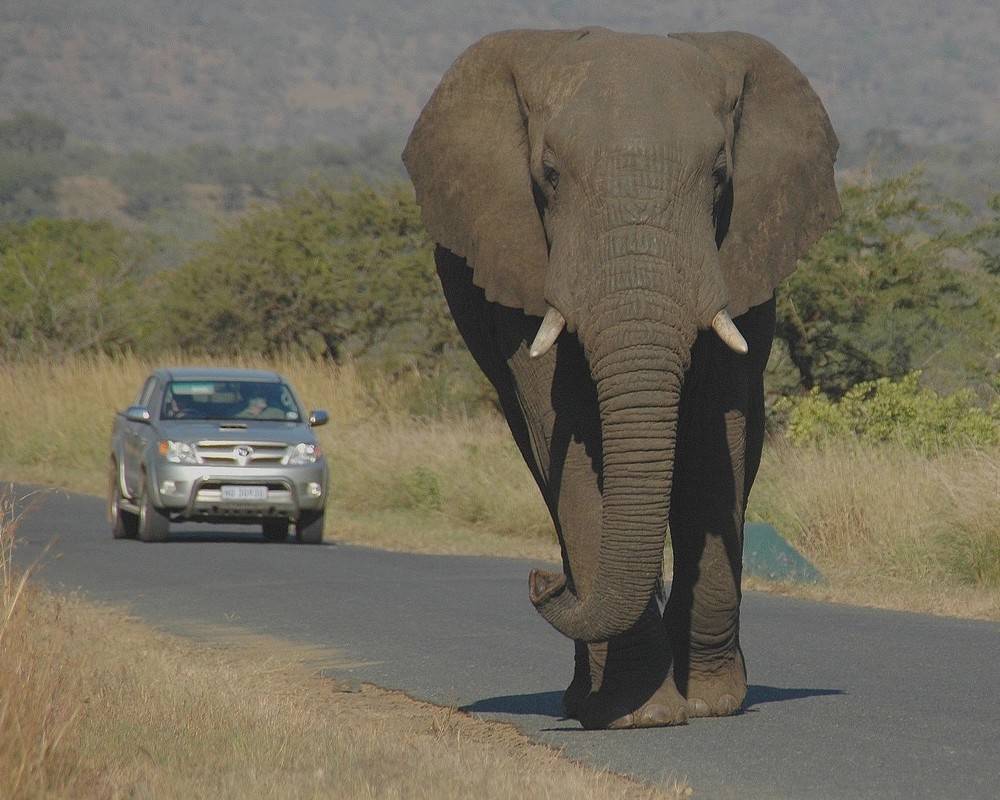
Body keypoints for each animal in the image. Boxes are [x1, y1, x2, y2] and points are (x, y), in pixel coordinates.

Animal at [402, 28, 840, 732]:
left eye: (720, 177)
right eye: (549, 177)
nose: (540, 581)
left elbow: (715, 433)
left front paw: (710, 703)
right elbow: (568, 429)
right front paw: (640, 714)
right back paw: (590, 696)